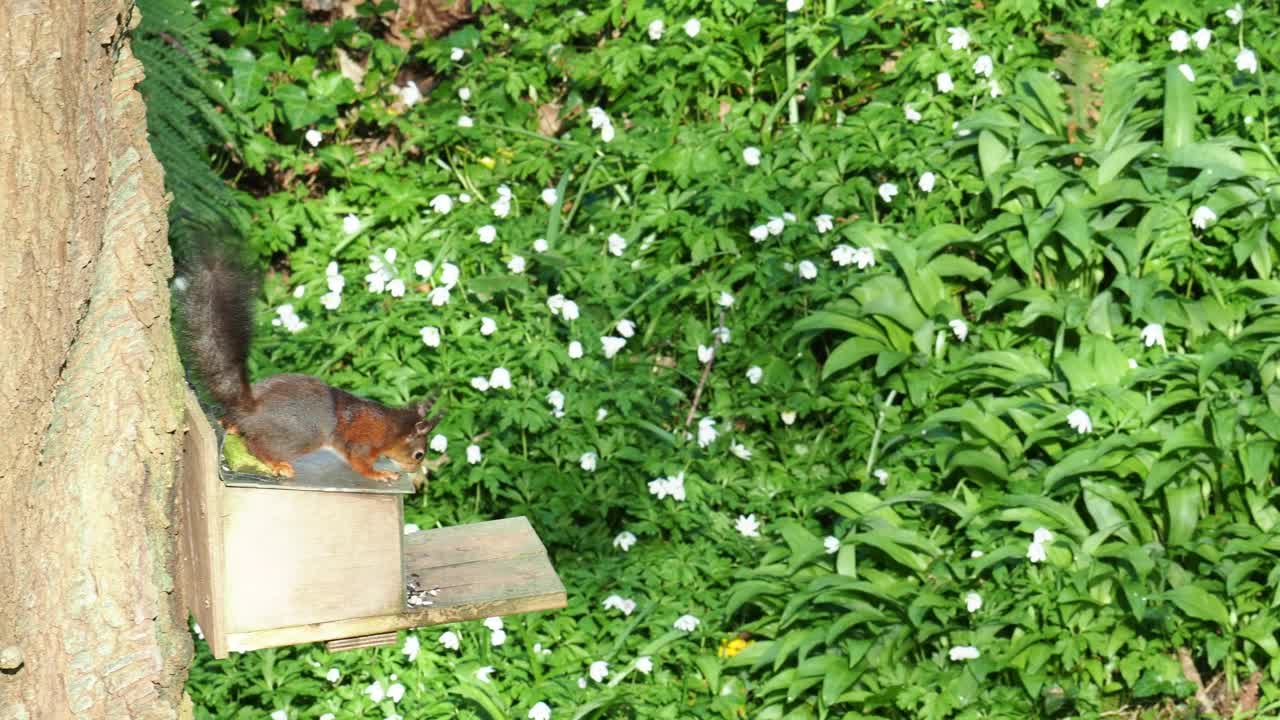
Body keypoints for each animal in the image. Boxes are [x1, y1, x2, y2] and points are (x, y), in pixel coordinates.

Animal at [180, 249, 440, 479]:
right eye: (419, 454)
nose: (414, 470)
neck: (390, 426)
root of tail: (250, 406)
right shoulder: (362, 442)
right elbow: (359, 462)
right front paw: (380, 474)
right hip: (302, 436)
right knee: (254, 446)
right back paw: (276, 463)